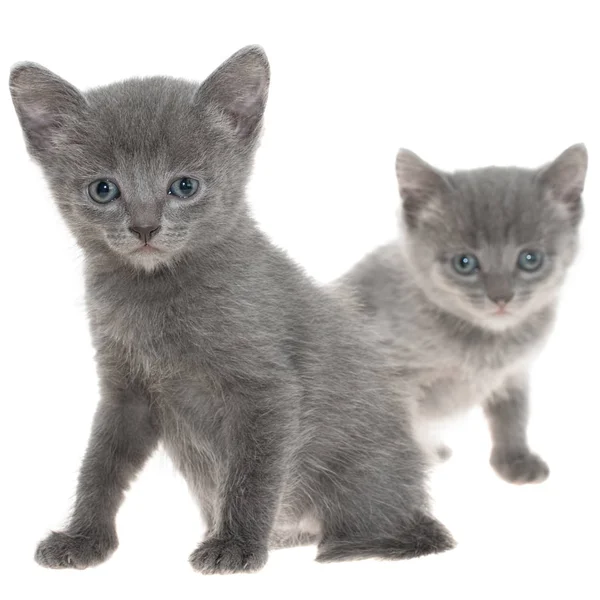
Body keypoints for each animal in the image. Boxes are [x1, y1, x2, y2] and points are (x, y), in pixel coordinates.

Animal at [9, 47, 452, 572]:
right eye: (103, 189)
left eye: (184, 186)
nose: (144, 227)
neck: (156, 297)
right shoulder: (125, 391)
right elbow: (100, 465)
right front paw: (83, 539)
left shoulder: (266, 390)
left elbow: (252, 472)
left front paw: (235, 546)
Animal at [338, 148, 584, 486]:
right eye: (464, 263)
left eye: (530, 259)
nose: (501, 297)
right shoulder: (393, 372)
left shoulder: (515, 371)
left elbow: (513, 413)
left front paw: (514, 458)